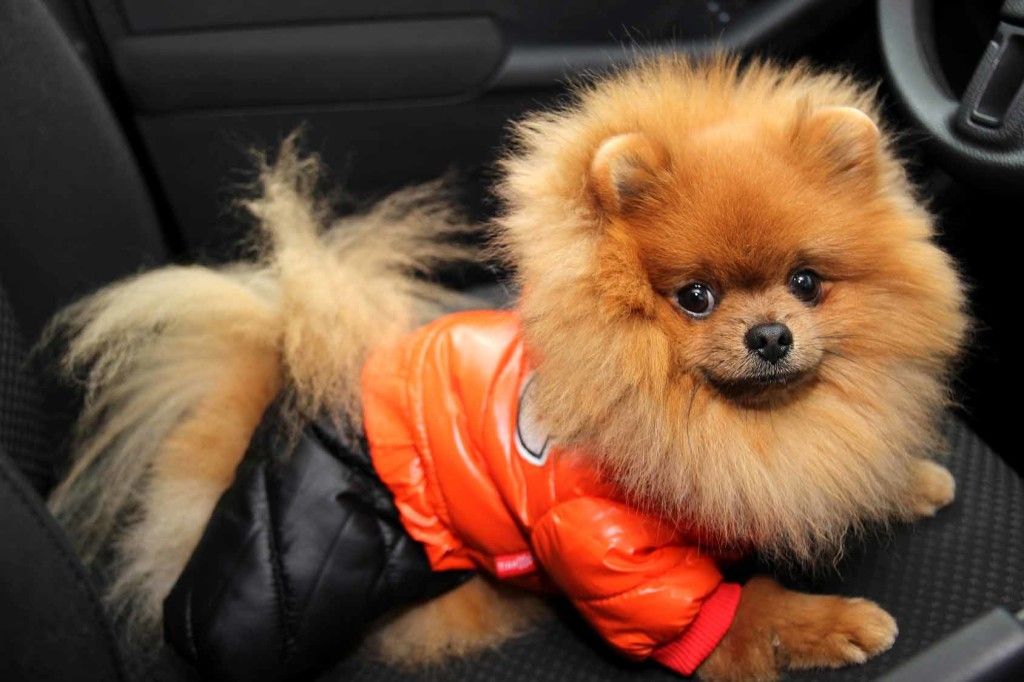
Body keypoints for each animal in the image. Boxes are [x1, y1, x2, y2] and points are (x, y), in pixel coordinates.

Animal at [46, 54, 966, 679]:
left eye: (807, 283)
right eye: (695, 298)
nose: (771, 335)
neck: (713, 417)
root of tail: (271, 412)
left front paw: (902, 482)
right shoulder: (605, 543)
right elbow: (723, 612)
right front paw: (819, 624)